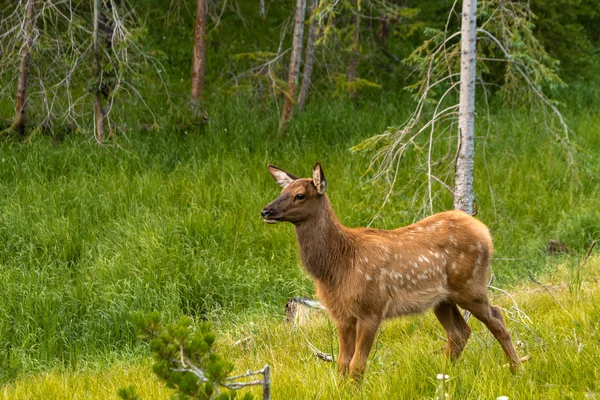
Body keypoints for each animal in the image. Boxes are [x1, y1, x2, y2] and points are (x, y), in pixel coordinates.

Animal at [260, 162, 524, 378]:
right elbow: (342, 364)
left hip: (471, 285)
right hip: (442, 299)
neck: (339, 266)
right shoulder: (342, 314)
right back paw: (443, 376)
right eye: (281, 192)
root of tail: (485, 231)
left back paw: (516, 371)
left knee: (497, 319)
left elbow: (357, 365)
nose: (265, 211)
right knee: (460, 332)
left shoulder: (372, 307)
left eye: (300, 195)